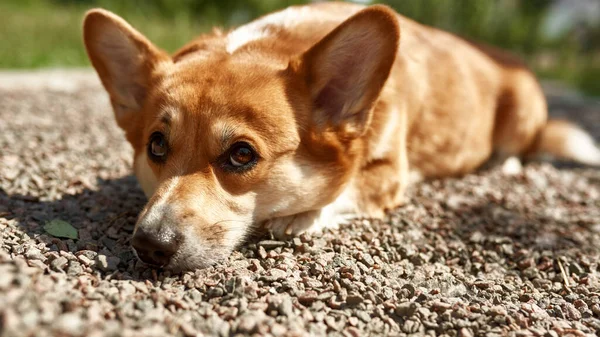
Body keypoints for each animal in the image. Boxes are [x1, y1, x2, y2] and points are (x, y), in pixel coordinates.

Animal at [83, 2, 600, 270]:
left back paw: (503, 164)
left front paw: (298, 217)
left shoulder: (389, 173)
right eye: (156, 145)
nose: (149, 245)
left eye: (241, 155)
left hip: (524, 106)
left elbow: (344, 190)